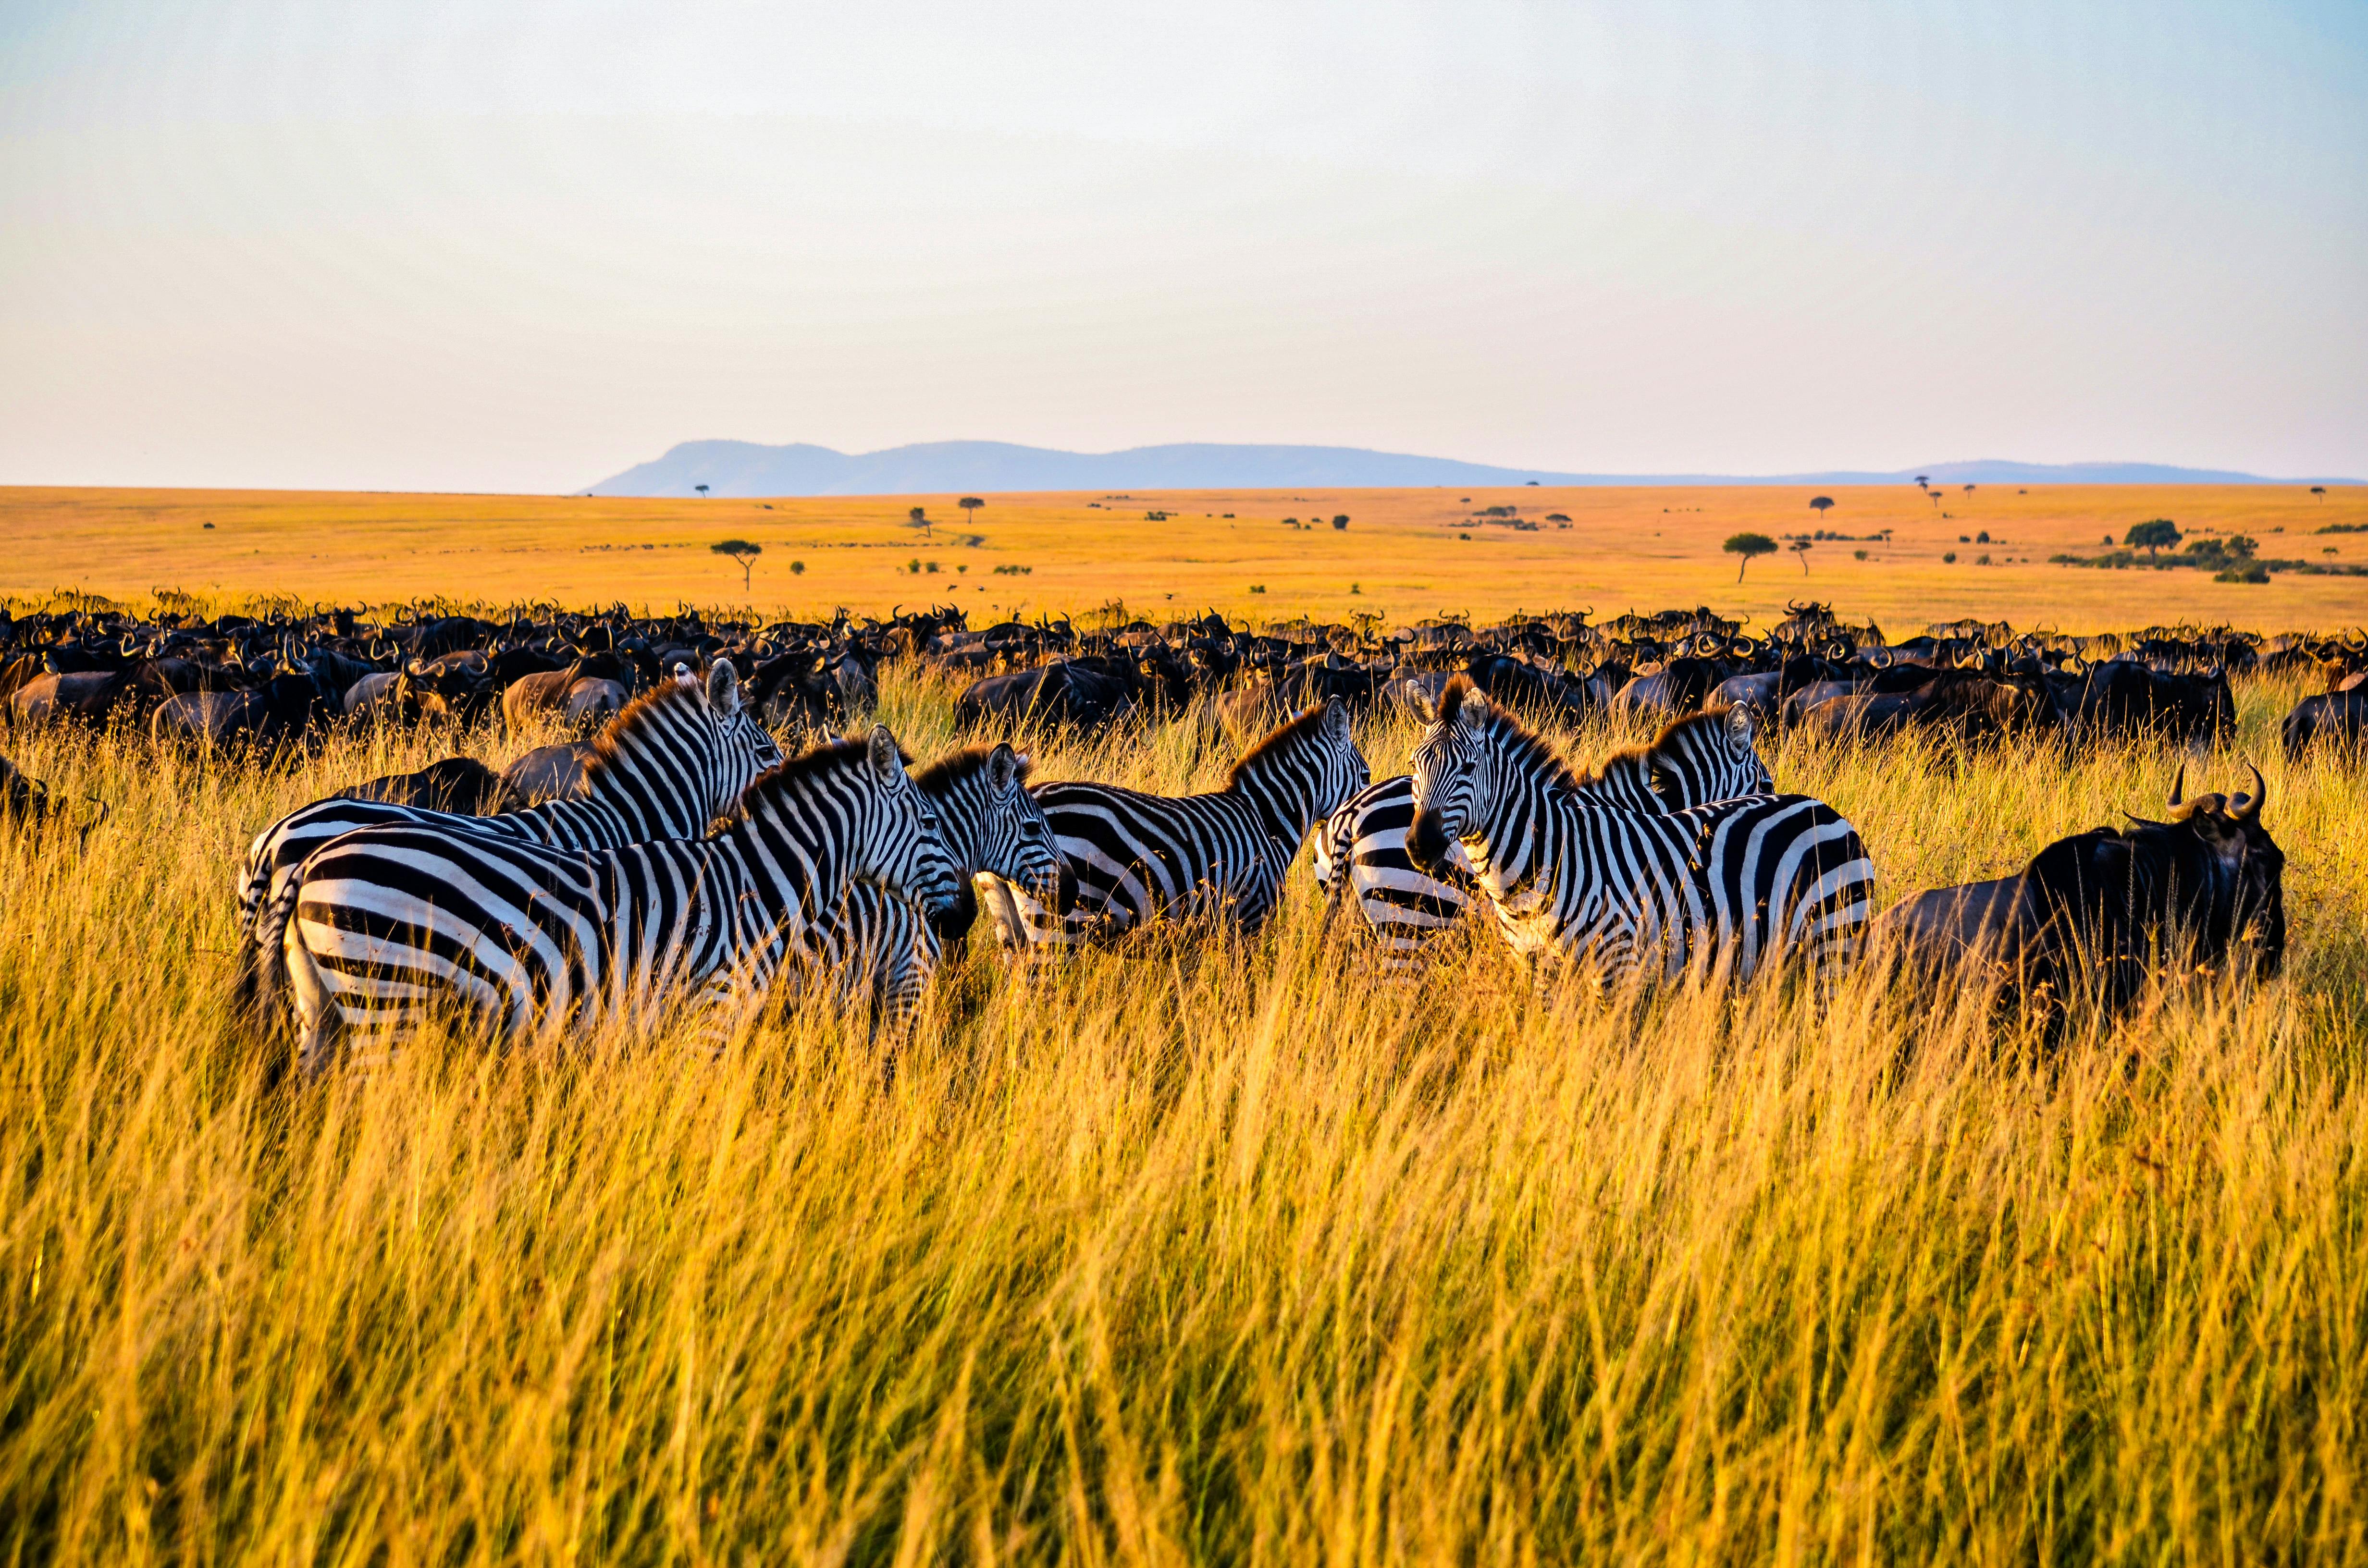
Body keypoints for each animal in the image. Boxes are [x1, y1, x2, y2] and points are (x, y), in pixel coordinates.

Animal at [277, 727, 961, 1071]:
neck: (758, 885)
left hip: (324, 1009)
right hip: (386, 1001)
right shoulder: (713, 1011)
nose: (963, 920)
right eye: (930, 824)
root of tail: (308, 862)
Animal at [1406, 678, 1872, 986]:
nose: (1419, 844)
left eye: (1468, 768)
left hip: (1832, 944)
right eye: (1416, 764)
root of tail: (1829, 810)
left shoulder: (1620, 965)